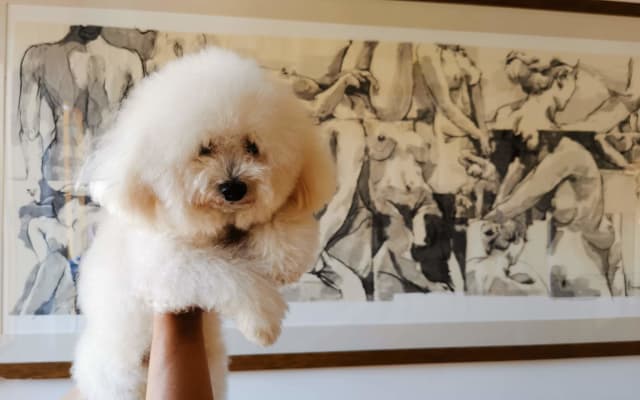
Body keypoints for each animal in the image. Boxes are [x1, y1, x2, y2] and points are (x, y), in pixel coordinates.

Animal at [71, 47, 336, 400]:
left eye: (252, 146)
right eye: (204, 149)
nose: (234, 187)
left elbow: (284, 219)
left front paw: (284, 256)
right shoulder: (168, 266)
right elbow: (228, 274)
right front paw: (263, 321)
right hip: (121, 377)